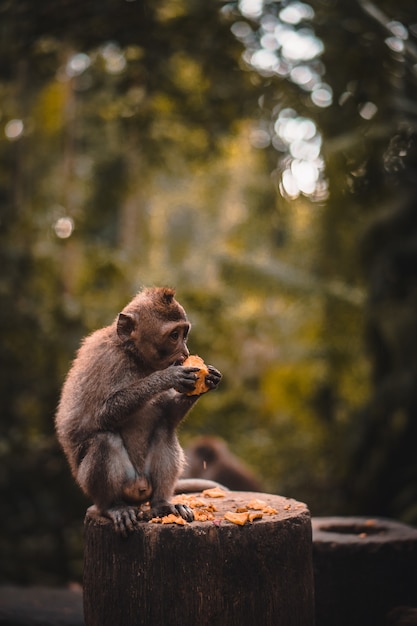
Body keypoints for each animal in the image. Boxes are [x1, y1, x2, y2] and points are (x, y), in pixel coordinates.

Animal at [57, 286, 224, 532]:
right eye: (174, 335)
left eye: (184, 333)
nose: (185, 353)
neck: (133, 356)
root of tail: (139, 492)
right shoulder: (106, 359)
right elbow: (103, 414)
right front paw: (166, 377)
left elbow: (168, 417)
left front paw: (208, 380)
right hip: (99, 485)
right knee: (103, 440)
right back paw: (113, 506)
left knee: (164, 431)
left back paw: (163, 504)